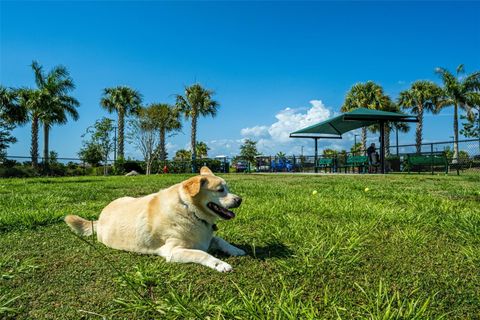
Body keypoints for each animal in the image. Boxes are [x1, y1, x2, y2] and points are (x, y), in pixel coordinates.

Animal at [65, 168, 246, 272]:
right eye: (220, 190)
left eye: (227, 188)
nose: (240, 200)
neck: (189, 210)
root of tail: (99, 218)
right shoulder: (173, 251)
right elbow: (202, 253)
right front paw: (220, 264)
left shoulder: (208, 238)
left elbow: (220, 240)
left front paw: (236, 250)